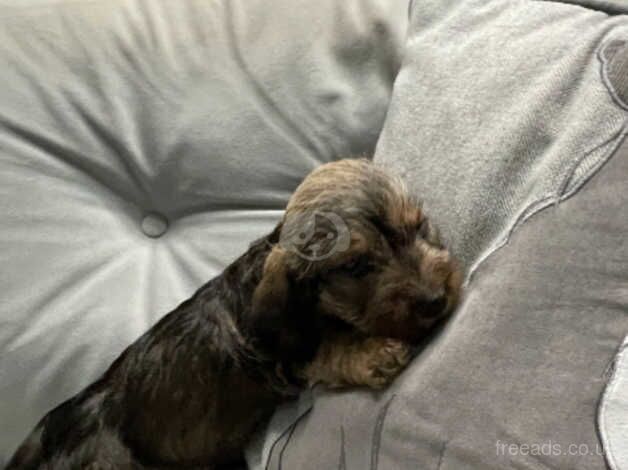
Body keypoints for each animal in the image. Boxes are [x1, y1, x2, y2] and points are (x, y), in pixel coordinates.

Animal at [7, 159, 462, 470]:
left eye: (418, 227)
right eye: (356, 266)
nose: (436, 298)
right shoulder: (286, 358)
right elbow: (330, 349)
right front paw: (373, 354)